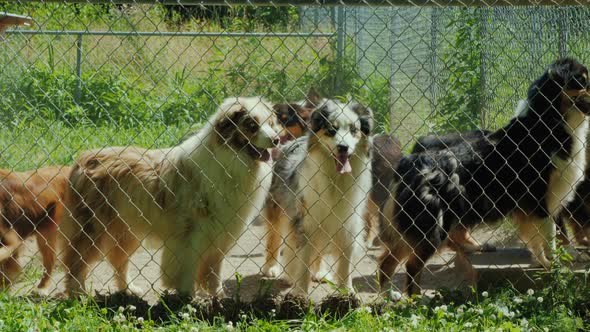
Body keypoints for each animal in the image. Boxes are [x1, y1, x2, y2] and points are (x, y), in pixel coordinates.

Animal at [60, 96, 282, 296]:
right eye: (252, 125)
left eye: (271, 124)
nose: (276, 139)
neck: (230, 161)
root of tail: (83, 159)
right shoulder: (191, 234)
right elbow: (188, 267)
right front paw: (188, 296)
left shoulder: (220, 232)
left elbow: (214, 270)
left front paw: (217, 296)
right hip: (93, 228)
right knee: (75, 261)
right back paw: (78, 294)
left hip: (126, 229)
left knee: (119, 261)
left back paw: (129, 289)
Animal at [262, 96, 372, 296]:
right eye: (331, 129)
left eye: (353, 129)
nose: (343, 147)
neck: (335, 179)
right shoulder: (306, 220)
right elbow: (302, 260)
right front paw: (300, 294)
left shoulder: (346, 221)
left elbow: (345, 262)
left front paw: (347, 292)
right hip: (278, 207)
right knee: (275, 236)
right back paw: (272, 268)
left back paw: (320, 272)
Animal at [380, 57, 590, 296]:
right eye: (581, 81)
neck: (549, 121)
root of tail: (409, 163)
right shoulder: (539, 199)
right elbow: (551, 235)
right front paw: (553, 266)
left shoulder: (548, 199)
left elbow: (547, 235)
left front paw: (548, 261)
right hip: (433, 227)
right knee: (411, 265)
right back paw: (412, 301)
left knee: (386, 263)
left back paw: (389, 298)